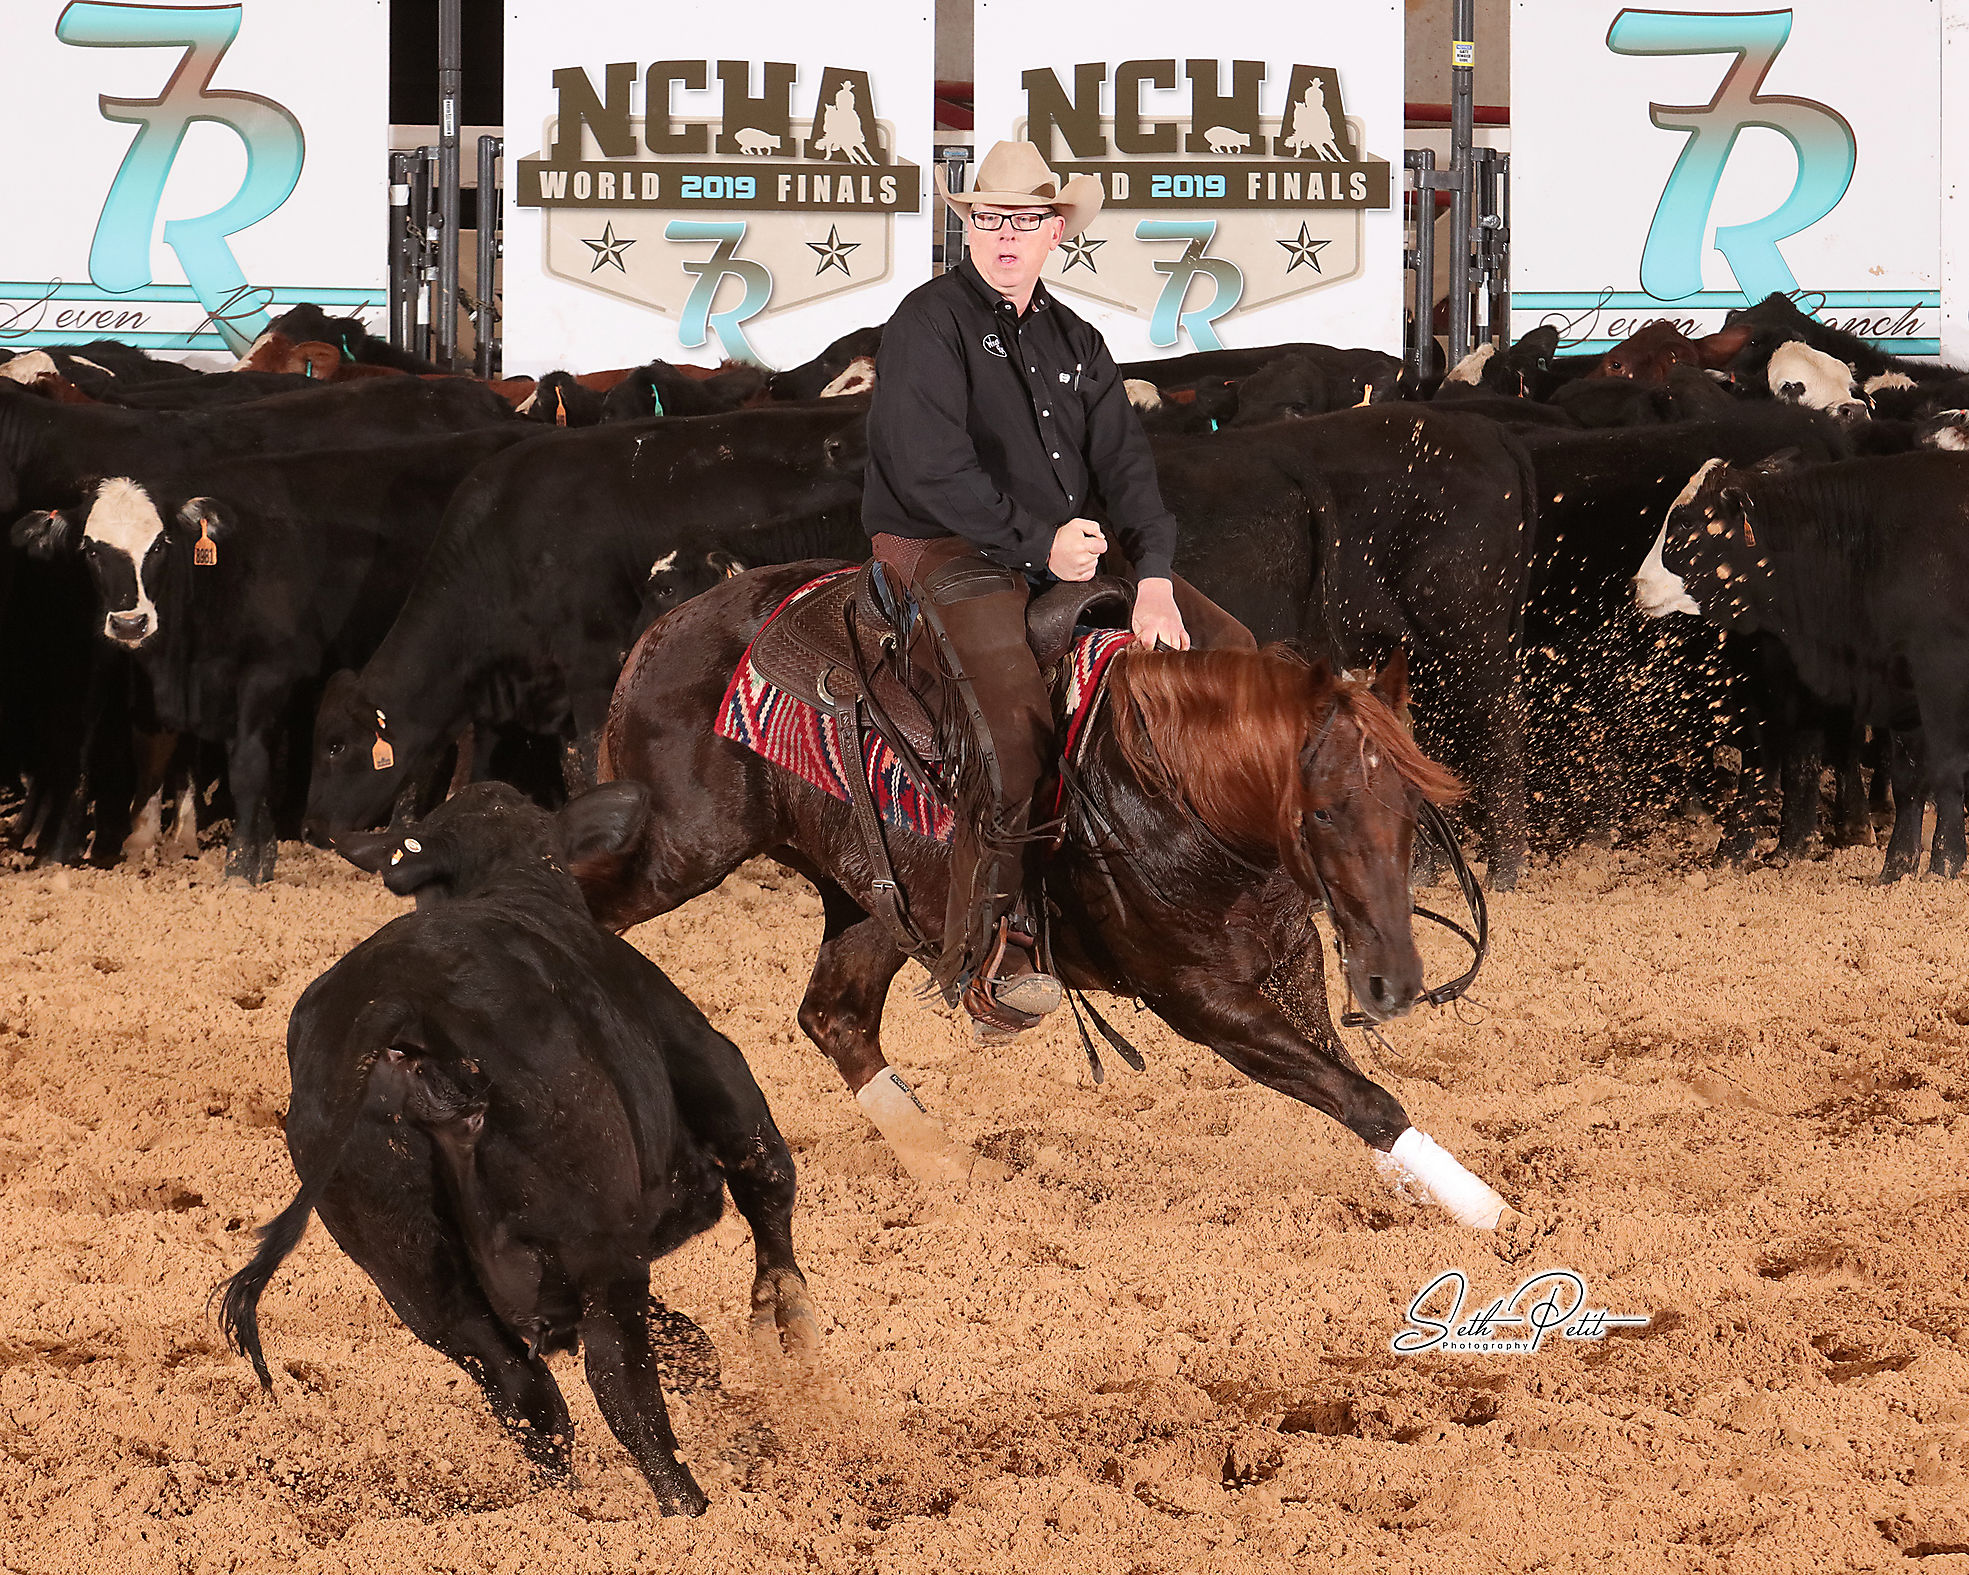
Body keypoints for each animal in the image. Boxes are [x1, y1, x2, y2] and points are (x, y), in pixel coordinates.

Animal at [590, 562, 1518, 1228]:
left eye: (1413, 810)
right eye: (1322, 808)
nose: (1395, 981)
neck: (1176, 788)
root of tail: (662, 632)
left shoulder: (1291, 955)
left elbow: (1346, 1076)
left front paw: (1426, 1187)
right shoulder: (1199, 998)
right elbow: (1356, 1092)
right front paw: (1487, 1211)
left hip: (881, 898)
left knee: (835, 1014)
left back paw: (952, 1166)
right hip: (680, 844)